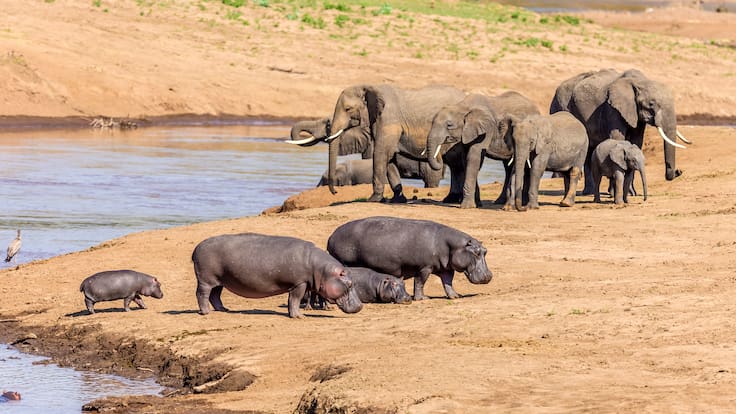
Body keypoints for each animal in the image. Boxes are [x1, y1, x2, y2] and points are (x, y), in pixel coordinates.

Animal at [325, 84, 467, 202]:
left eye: (348, 109)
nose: (335, 192)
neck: (369, 87)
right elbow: (390, 158)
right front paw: (398, 199)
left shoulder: (388, 120)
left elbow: (381, 153)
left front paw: (373, 199)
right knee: (456, 166)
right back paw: (452, 199)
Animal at [550, 68, 690, 194]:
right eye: (651, 104)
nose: (678, 171)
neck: (640, 81)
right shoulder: (613, 109)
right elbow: (617, 139)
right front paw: (615, 192)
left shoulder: (636, 115)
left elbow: (636, 142)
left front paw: (630, 193)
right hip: (560, 106)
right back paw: (588, 192)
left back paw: (589, 192)